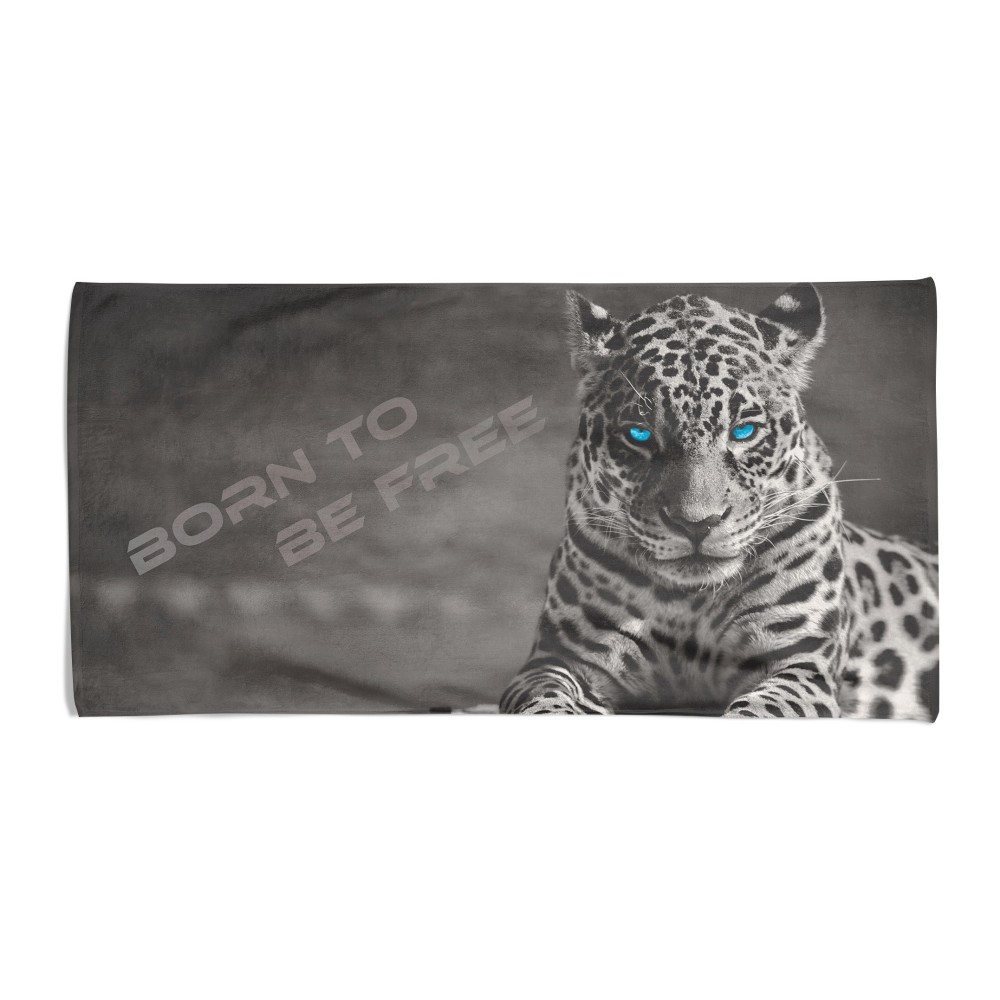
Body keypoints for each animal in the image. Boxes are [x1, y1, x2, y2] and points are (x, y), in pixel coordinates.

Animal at [500, 284, 939, 719]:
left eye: (744, 431)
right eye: (639, 435)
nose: (697, 523)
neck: (689, 601)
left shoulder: (800, 662)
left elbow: (760, 710)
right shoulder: (557, 660)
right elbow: (545, 702)